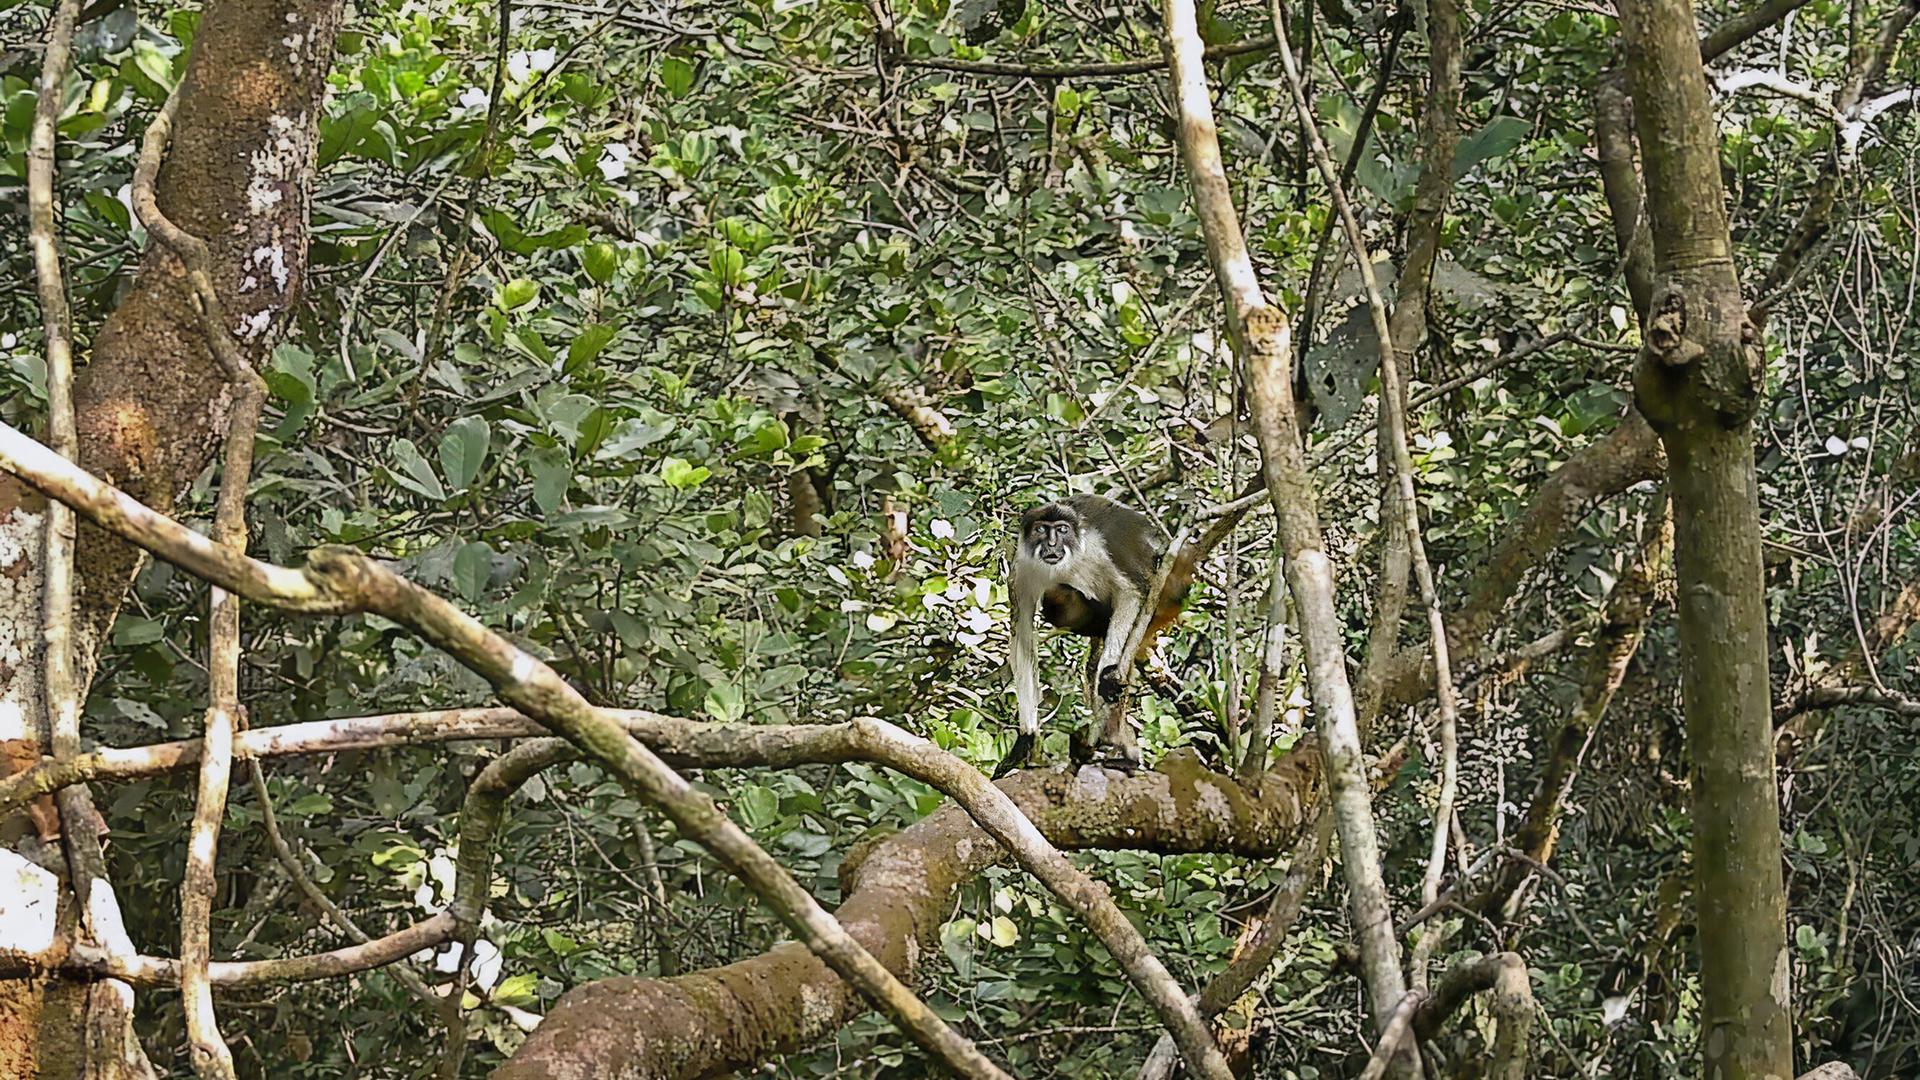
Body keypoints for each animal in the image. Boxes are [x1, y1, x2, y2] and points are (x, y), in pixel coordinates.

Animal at [996, 495, 1198, 777]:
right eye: (1041, 529)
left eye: (1062, 530)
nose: (1051, 544)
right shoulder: (1022, 569)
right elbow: (1022, 636)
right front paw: (1027, 737)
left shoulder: (1095, 550)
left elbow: (1130, 593)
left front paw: (1109, 676)